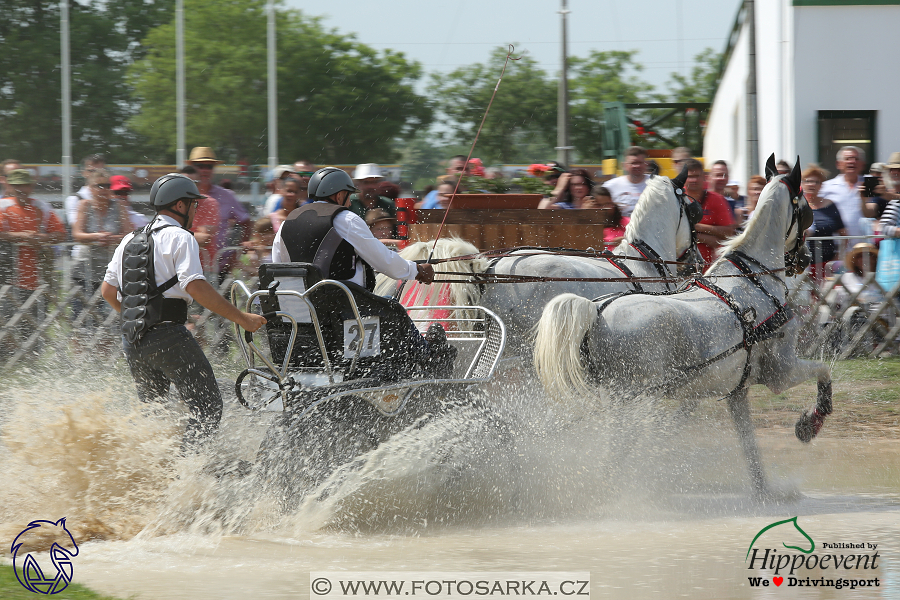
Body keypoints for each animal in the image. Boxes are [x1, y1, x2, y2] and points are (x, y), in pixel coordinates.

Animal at [532, 156, 832, 496]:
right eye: (806, 208)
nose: (805, 258)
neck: (754, 279)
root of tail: (596, 311)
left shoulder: (732, 389)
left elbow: (747, 444)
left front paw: (764, 491)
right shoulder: (780, 371)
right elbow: (824, 371)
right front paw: (809, 425)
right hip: (631, 402)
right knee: (611, 458)